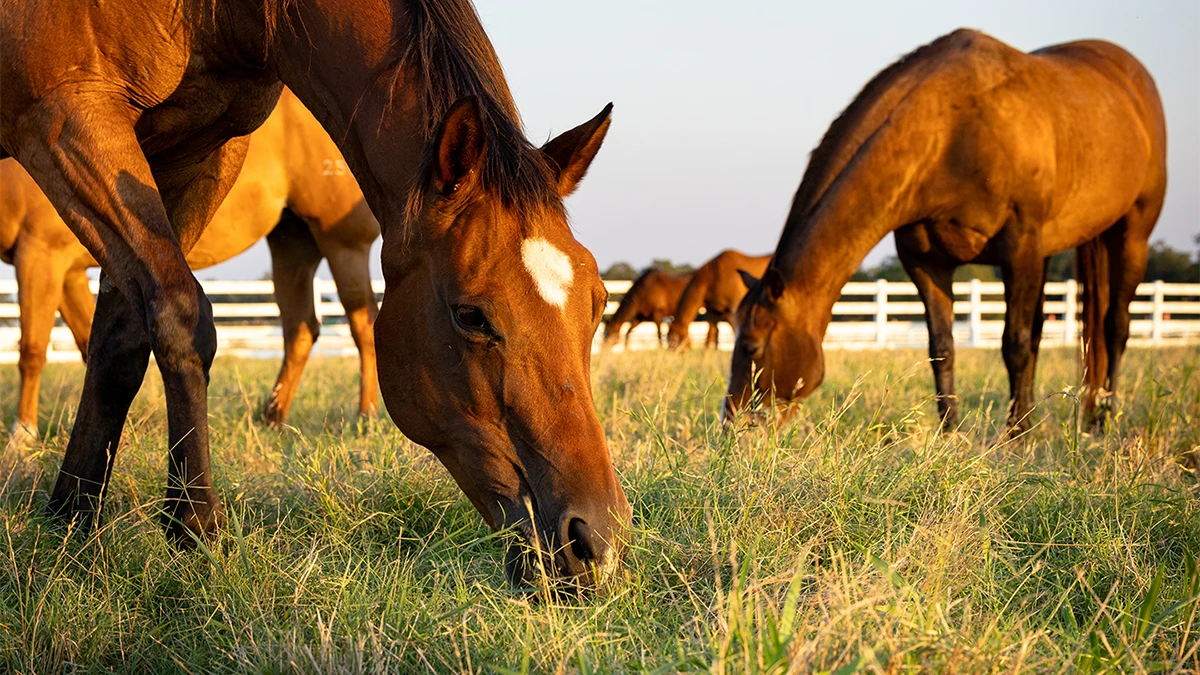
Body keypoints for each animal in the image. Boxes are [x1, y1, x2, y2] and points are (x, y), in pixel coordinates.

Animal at [0, 89, 379, 450]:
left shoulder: (41, 254)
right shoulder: (67, 272)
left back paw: (366, 415)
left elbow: (32, 348)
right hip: (293, 244)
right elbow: (85, 343)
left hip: (343, 244)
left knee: (363, 324)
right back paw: (272, 418)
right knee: (299, 329)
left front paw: (23, 435)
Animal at [727, 29, 1166, 432]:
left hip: (1131, 235)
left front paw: (1016, 439)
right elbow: (943, 347)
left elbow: (1015, 344)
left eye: (751, 346)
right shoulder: (926, 262)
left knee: (1114, 327)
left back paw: (1104, 420)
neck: (951, 132)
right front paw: (951, 436)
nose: (731, 424)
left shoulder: (1019, 246)